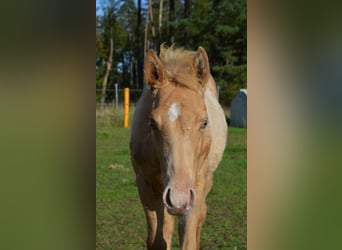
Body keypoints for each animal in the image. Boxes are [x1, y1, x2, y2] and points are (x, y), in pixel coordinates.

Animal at [128, 44, 227, 249]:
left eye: (204, 122)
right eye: (152, 123)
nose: (178, 198)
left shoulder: (195, 187)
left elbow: (187, 239)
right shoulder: (145, 186)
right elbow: (158, 239)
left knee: (200, 217)